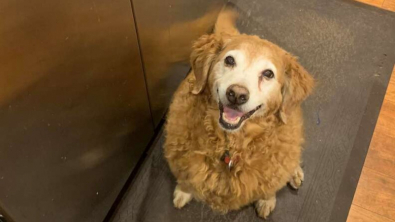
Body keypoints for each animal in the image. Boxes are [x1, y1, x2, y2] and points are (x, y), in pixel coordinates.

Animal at [164, 8, 316, 219]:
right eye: (229, 60)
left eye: (268, 74)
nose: (236, 94)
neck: (230, 146)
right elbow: (186, 178)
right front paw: (183, 192)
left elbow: (269, 187)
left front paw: (266, 200)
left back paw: (294, 172)